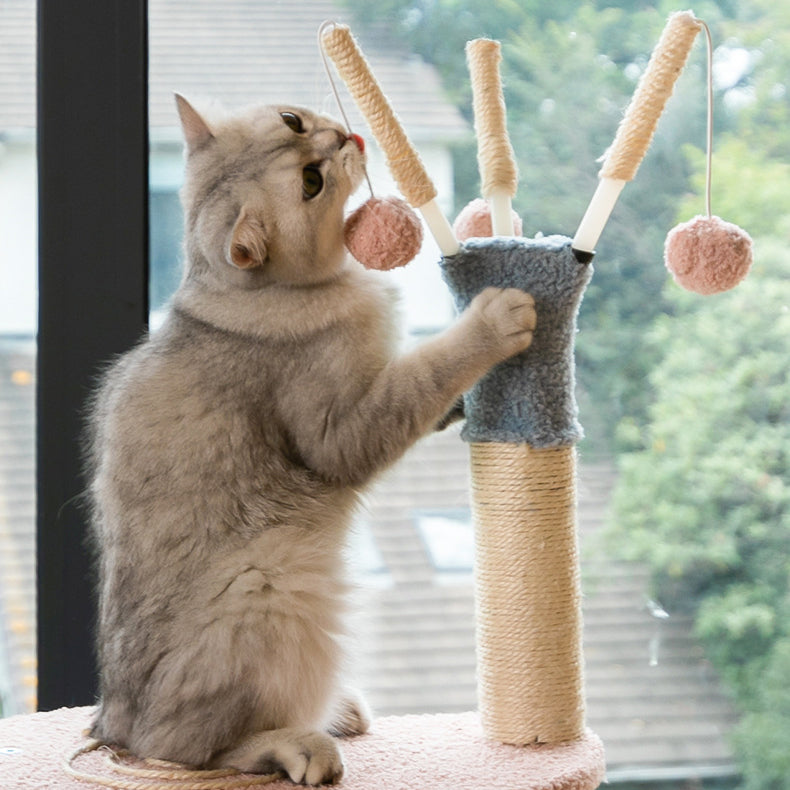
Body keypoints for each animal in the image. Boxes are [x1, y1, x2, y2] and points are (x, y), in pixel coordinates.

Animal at [86, 94, 540, 784]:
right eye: (309, 183)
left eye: (292, 121)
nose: (344, 137)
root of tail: (112, 722)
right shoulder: (343, 431)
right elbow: (423, 373)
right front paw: (491, 321)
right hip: (270, 583)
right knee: (185, 749)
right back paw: (302, 742)